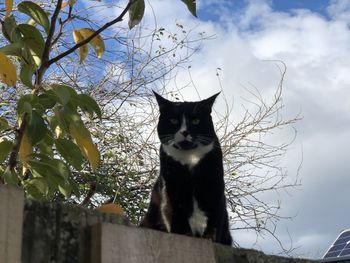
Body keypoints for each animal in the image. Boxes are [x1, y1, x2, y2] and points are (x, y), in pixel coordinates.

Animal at [139, 92, 232, 246]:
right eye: (173, 120)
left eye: (195, 121)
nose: (184, 131)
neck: (190, 159)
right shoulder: (170, 188)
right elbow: (172, 214)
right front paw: (184, 235)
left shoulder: (215, 186)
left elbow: (215, 218)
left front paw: (210, 239)